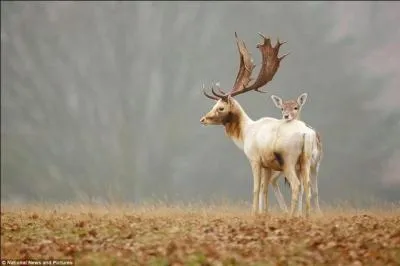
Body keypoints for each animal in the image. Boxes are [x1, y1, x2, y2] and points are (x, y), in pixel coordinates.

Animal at [200, 32, 318, 217]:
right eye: (214, 105)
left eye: (220, 107)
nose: (203, 119)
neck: (245, 134)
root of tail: (307, 133)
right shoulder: (267, 164)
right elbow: (264, 189)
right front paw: (264, 214)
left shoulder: (254, 159)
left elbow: (256, 188)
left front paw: (254, 213)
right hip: (305, 160)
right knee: (307, 186)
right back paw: (305, 216)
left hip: (289, 160)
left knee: (296, 185)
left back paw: (291, 216)